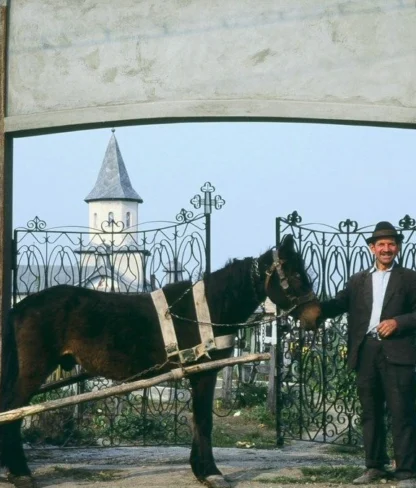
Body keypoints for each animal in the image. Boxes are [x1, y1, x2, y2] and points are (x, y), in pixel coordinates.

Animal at [0, 234, 322, 486]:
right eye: (295, 275)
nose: (316, 316)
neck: (206, 309)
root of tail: (22, 307)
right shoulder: (204, 372)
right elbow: (203, 420)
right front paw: (210, 472)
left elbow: (198, 419)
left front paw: (200, 469)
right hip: (32, 370)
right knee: (14, 411)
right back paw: (20, 471)